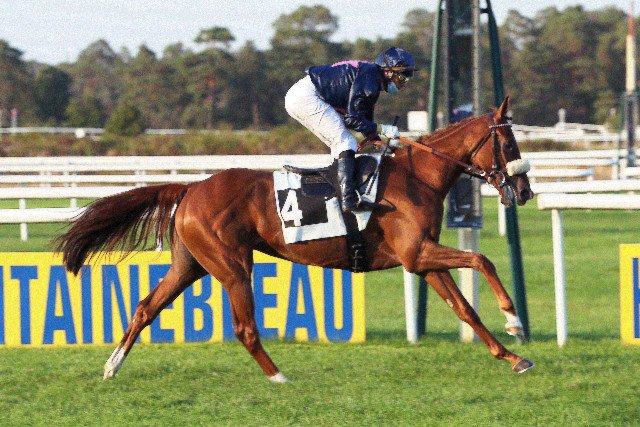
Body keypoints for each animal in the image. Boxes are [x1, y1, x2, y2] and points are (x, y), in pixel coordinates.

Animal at [55, 96, 535, 383]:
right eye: (509, 143)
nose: (526, 191)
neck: (419, 177)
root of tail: (190, 188)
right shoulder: (418, 252)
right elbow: (483, 260)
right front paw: (515, 321)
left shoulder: (420, 260)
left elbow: (465, 308)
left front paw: (513, 356)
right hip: (232, 265)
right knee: (244, 327)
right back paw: (278, 377)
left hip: (190, 264)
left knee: (145, 307)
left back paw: (112, 364)